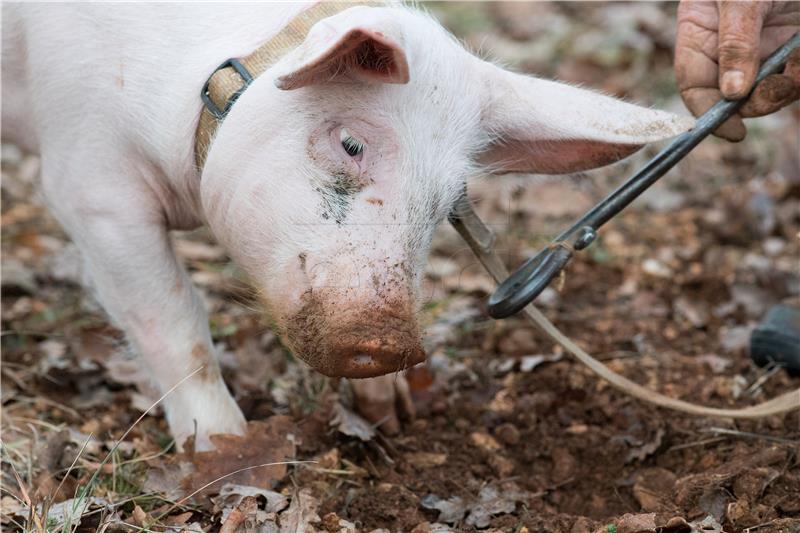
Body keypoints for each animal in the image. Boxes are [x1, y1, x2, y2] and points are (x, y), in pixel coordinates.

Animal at [0, 1, 692, 448]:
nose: (390, 342)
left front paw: (391, 417)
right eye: (352, 144)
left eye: (448, 201)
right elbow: (174, 320)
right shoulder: (91, 185)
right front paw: (224, 454)